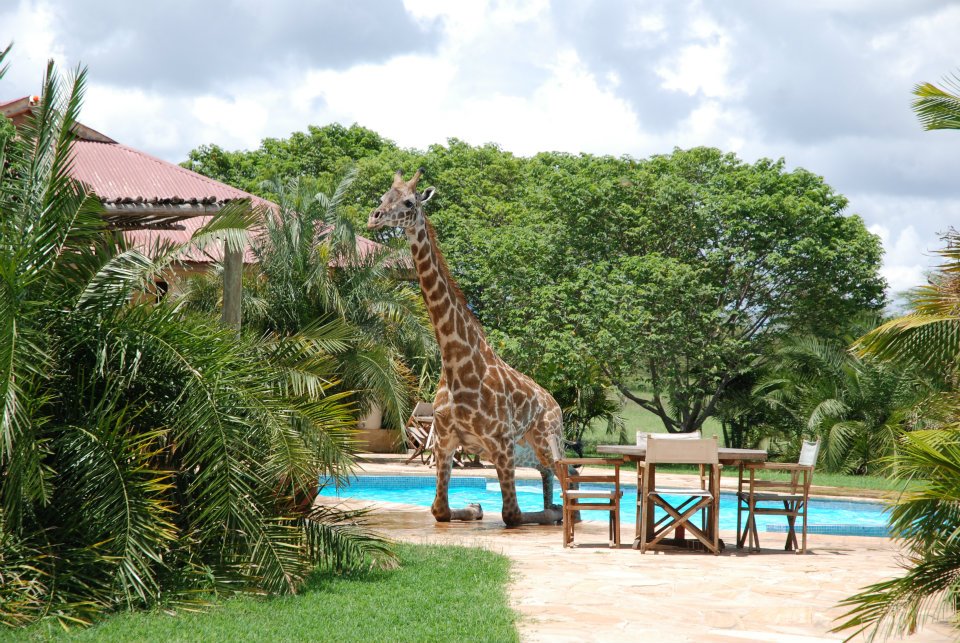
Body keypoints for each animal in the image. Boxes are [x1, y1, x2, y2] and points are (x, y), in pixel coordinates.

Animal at [368, 169, 564, 524]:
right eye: (382, 197)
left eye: (409, 202)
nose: (373, 218)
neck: (455, 362)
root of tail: (555, 403)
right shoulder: (445, 442)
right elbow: (440, 510)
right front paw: (475, 506)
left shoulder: (500, 445)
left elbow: (513, 514)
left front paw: (548, 513)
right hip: (530, 450)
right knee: (548, 475)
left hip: (547, 441)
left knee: (568, 478)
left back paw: (563, 510)